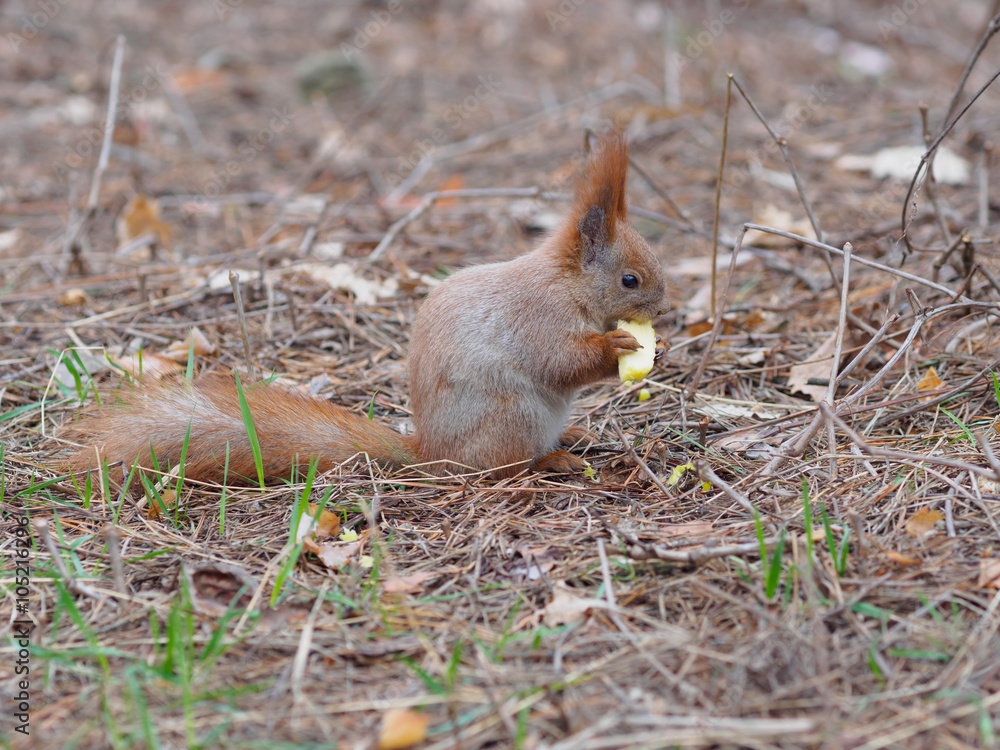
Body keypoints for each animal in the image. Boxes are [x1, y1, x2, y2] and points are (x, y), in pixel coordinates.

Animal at [65, 132, 666, 483]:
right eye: (630, 280)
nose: (660, 309)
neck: (568, 285)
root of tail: (432, 452)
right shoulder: (538, 317)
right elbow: (559, 361)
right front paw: (616, 346)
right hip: (511, 418)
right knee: (499, 469)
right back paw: (551, 459)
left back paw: (575, 436)